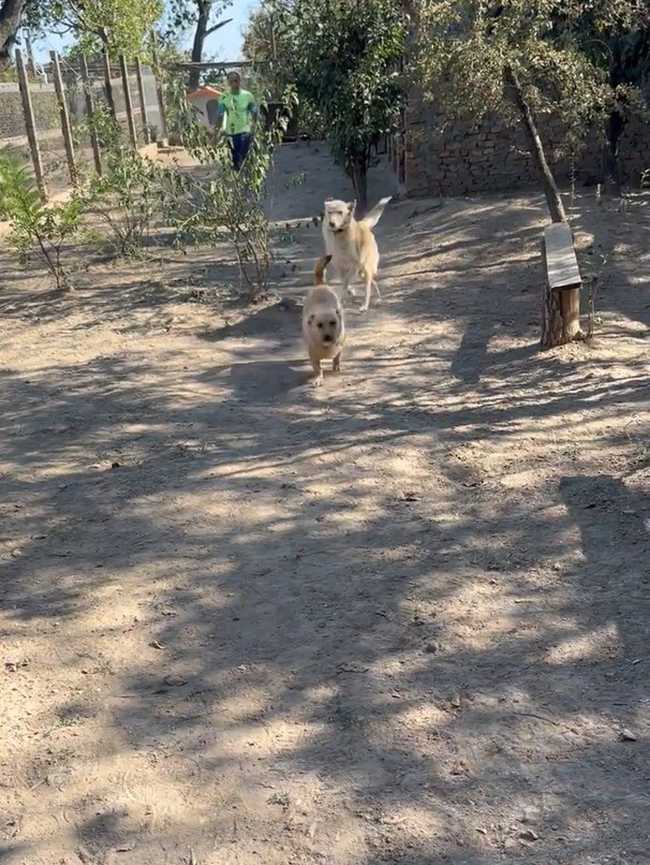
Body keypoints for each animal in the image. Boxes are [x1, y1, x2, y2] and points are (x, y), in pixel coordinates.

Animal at [302, 255, 345, 387]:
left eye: (333, 323)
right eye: (319, 325)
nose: (327, 336)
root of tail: (319, 285)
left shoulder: (340, 346)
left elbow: (337, 358)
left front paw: (336, 366)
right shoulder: (313, 356)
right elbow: (318, 369)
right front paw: (318, 378)